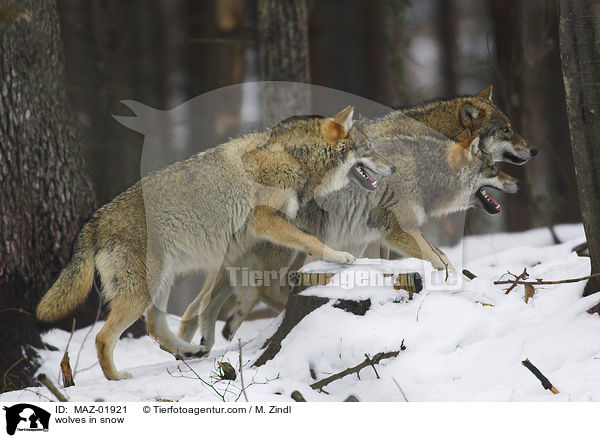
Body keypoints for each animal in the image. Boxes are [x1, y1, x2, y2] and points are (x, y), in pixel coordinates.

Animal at [173, 85, 528, 348]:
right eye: (507, 130)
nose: (533, 153)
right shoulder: (392, 230)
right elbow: (436, 260)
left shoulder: (376, 235)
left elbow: (437, 258)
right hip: (285, 250)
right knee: (256, 292)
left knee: (201, 306)